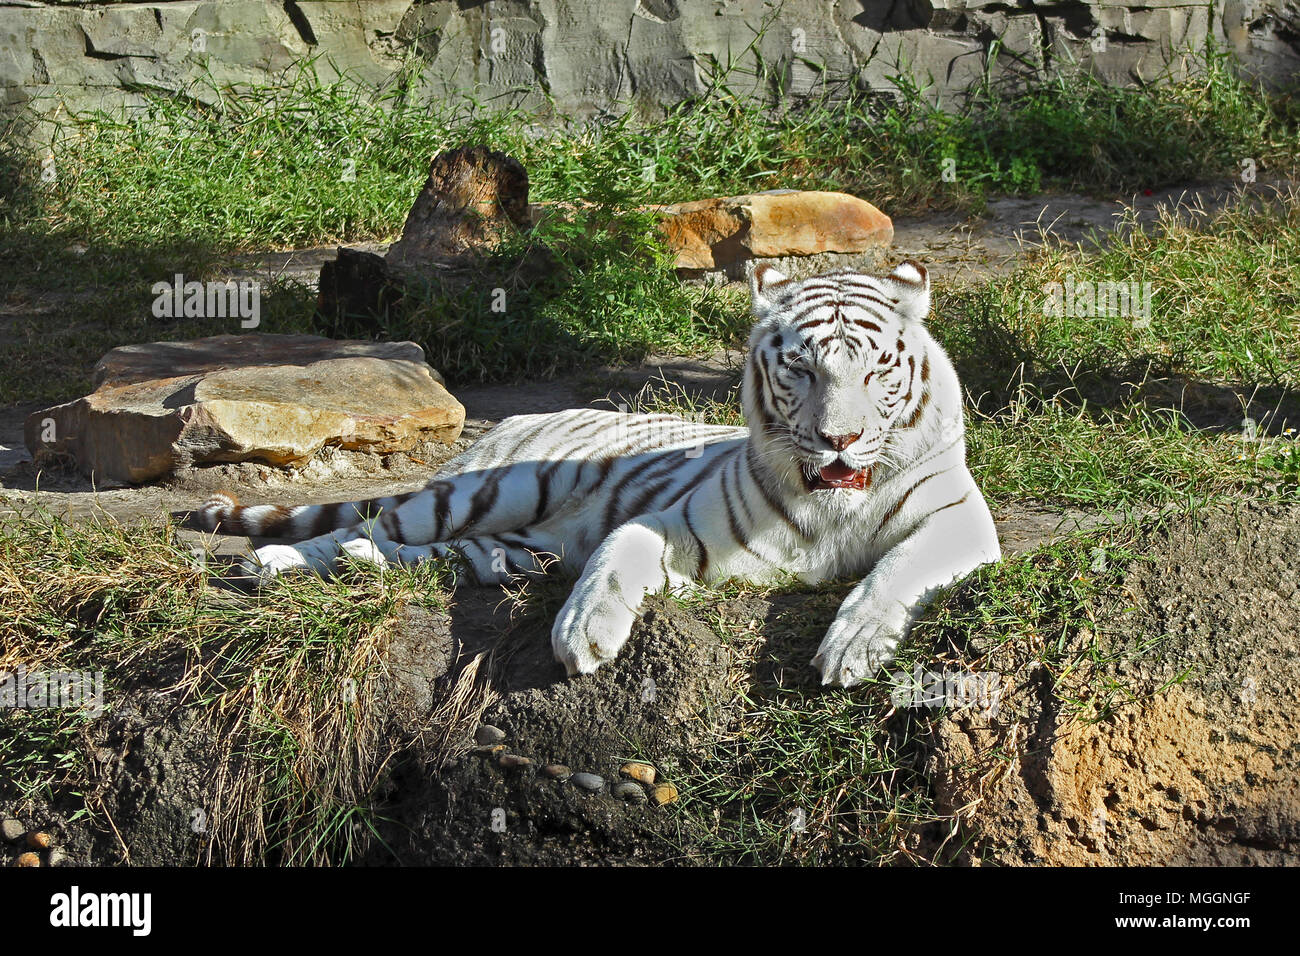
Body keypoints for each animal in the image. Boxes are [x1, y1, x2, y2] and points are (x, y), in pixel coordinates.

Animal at [197, 261, 998, 686]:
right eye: (800, 367)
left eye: (878, 369)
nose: (839, 440)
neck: (833, 502)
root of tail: (507, 424)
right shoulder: (677, 524)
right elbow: (619, 549)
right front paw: (583, 631)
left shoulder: (960, 526)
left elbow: (897, 570)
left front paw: (853, 648)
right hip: (493, 488)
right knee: (370, 523)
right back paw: (275, 561)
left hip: (513, 542)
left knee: (425, 550)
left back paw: (368, 563)